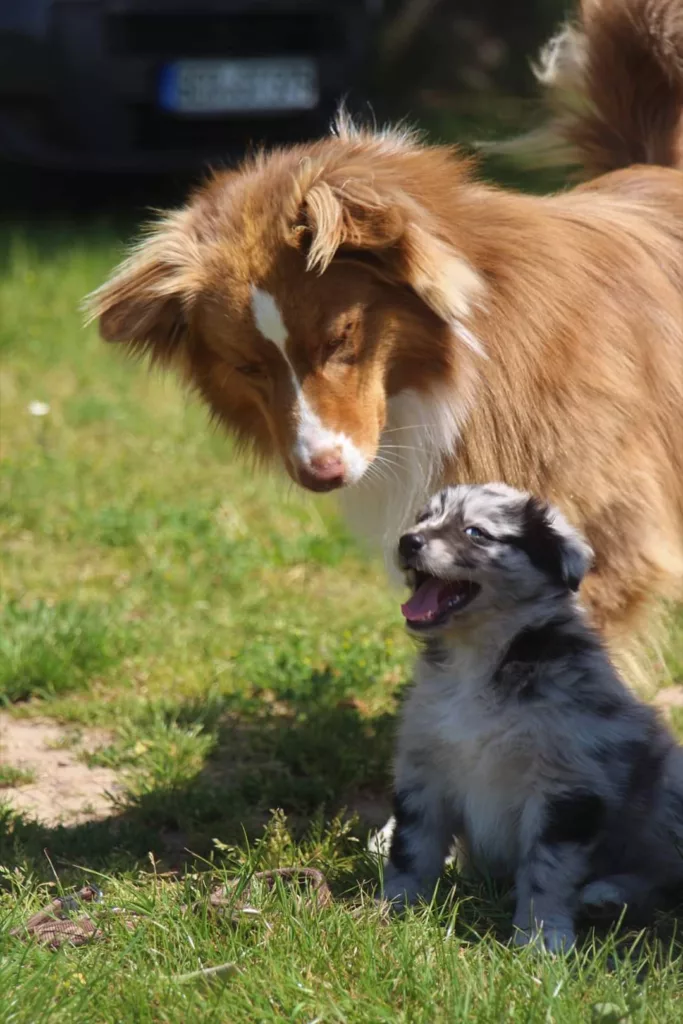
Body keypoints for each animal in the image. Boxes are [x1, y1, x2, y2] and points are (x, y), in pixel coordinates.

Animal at [382, 483, 683, 946]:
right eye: (423, 518)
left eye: (475, 532)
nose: (407, 541)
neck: (477, 659)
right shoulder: (423, 768)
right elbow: (412, 847)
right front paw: (392, 908)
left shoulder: (566, 784)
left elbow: (547, 868)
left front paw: (541, 938)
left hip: (667, 782)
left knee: (664, 877)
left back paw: (608, 894)